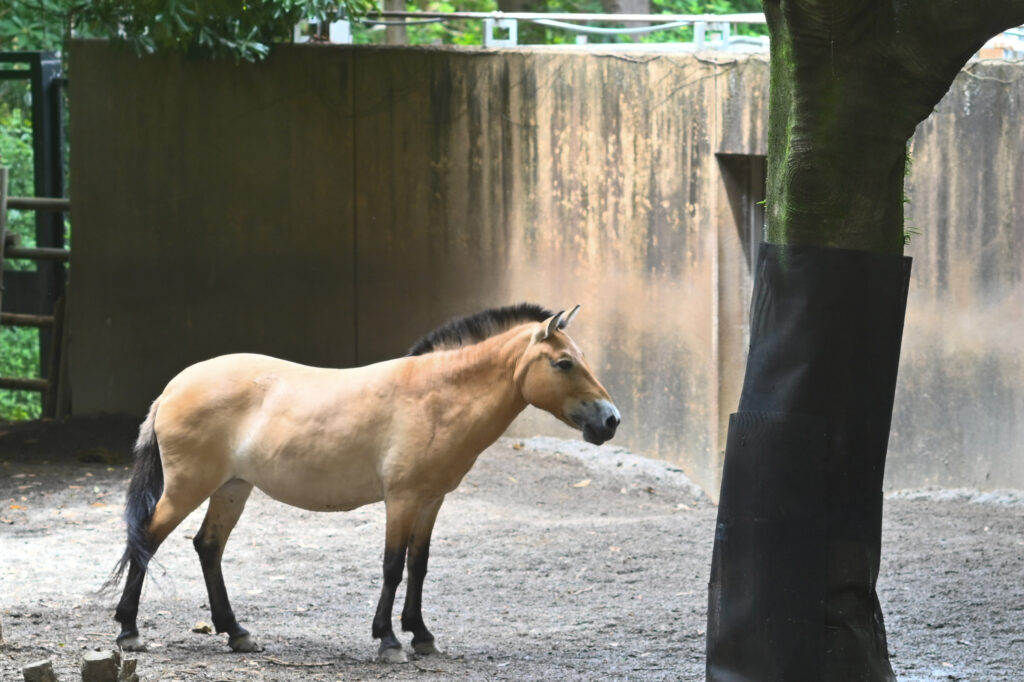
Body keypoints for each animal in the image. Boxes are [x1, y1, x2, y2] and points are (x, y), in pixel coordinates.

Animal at [108, 303, 620, 663]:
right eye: (563, 363)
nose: (611, 421)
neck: (437, 396)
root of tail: (173, 388)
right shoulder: (402, 499)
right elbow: (392, 567)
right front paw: (389, 641)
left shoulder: (431, 501)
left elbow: (418, 565)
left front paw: (422, 635)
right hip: (188, 488)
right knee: (147, 540)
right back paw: (129, 632)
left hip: (232, 489)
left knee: (208, 547)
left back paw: (237, 634)